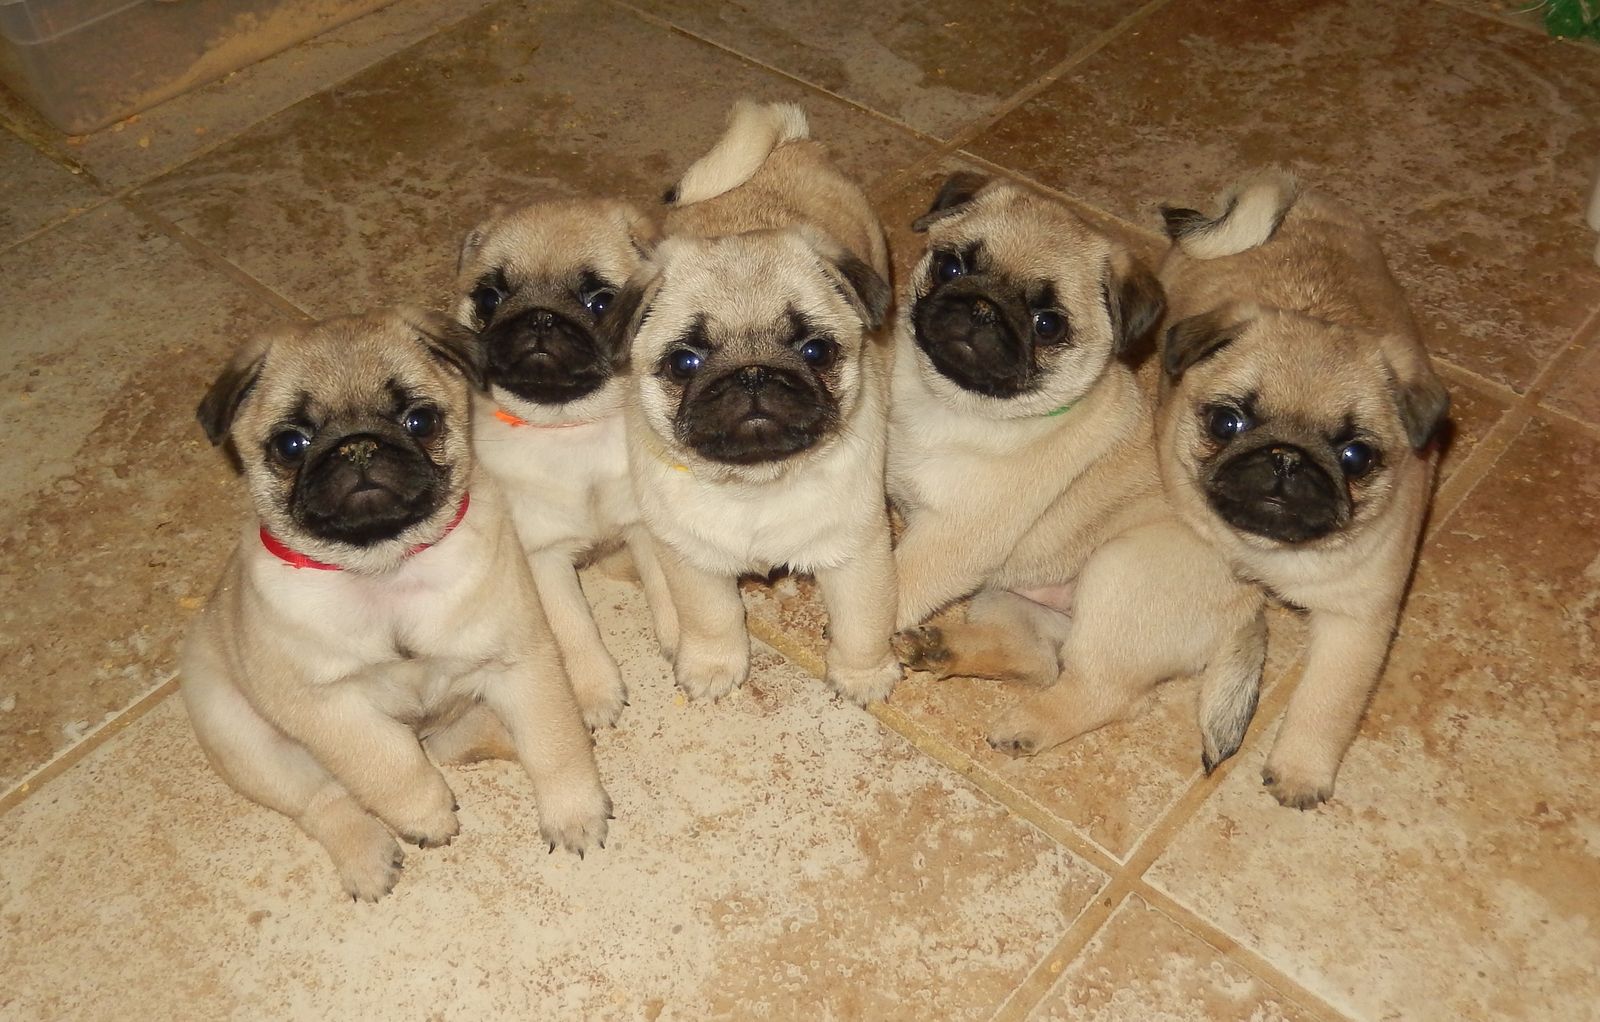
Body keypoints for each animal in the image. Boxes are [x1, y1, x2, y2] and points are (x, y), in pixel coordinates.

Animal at [180, 309, 611, 901]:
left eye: (419, 421)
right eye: (291, 444)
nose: (358, 447)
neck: (386, 567)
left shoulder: (522, 662)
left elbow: (553, 744)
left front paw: (574, 811)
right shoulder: (327, 708)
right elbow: (387, 763)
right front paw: (426, 814)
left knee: (463, 741)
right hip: (246, 739)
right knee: (326, 800)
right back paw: (367, 857)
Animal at [455, 199, 677, 728]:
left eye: (600, 301)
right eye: (490, 297)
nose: (539, 319)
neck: (569, 427)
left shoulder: (642, 527)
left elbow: (665, 586)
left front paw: (682, 641)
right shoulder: (544, 559)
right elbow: (574, 629)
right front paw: (594, 691)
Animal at [605, 99, 900, 705]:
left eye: (815, 351)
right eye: (684, 363)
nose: (753, 376)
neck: (757, 487)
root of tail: (789, 144)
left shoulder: (858, 552)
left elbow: (863, 623)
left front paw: (863, 675)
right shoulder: (690, 559)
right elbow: (711, 618)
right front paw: (713, 667)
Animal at [889, 173, 1267, 770]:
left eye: (1048, 324)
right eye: (950, 267)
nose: (982, 308)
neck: (953, 405)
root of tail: (1255, 606)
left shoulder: (950, 541)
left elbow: (894, 582)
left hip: (1120, 575)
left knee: (1102, 692)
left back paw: (1028, 725)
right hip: (1008, 594)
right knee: (1038, 660)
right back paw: (941, 650)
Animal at [1155, 170, 1450, 808]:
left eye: (1355, 456)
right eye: (1228, 423)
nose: (1286, 459)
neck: (1271, 554)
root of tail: (1298, 199)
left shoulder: (1356, 622)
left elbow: (1326, 704)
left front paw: (1300, 770)